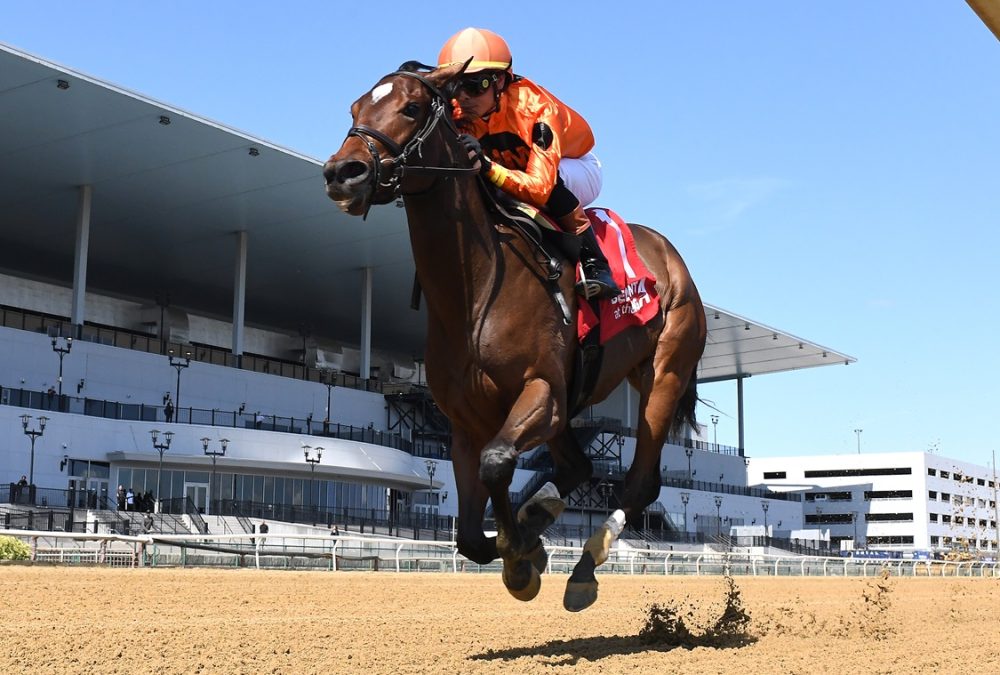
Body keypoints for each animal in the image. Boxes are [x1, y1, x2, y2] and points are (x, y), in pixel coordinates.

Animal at [324, 63, 708, 612]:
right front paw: (524, 546)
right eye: (355, 108)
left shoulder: (541, 390)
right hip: (576, 401)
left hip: (664, 374)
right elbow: (469, 529)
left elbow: (497, 462)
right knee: (580, 469)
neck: (476, 289)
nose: (342, 172)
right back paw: (540, 515)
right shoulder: (467, 420)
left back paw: (584, 567)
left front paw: (522, 559)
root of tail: (671, 257)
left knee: (638, 484)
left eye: (412, 108)